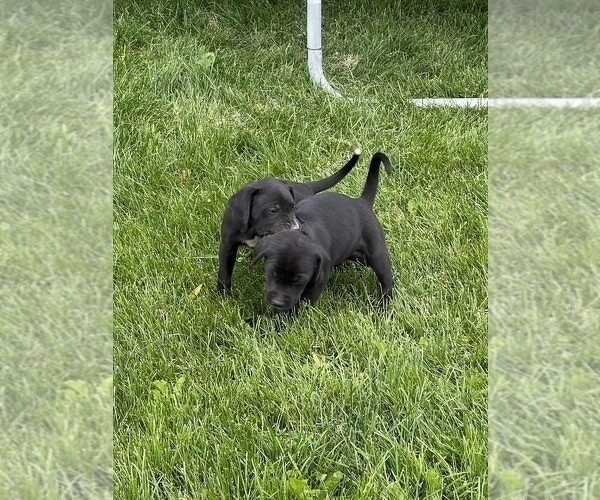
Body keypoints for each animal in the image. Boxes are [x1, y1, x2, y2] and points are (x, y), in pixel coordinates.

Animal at [217, 152, 360, 292]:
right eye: (273, 210)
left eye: (293, 207)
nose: (295, 228)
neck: (254, 230)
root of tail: (305, 186)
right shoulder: (227, 245)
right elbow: (224, 273)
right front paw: (223, 294)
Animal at [253, 152, 394, 312]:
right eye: (272, 273)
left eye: (298, 280)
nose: (277, 302)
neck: (302, 233)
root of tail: (362, 202)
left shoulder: (317, 282)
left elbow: (304, 300)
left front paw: (289, 316)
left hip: (377, 253)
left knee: (386, 279)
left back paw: (384, 304)